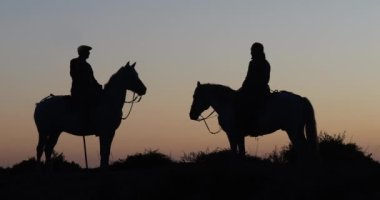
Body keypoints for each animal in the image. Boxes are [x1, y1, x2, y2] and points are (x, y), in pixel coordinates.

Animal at [189, 81, 318, 161]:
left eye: (195, 96)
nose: (191, 115)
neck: (228, 105)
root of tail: (300, 99)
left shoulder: (232, 134)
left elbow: (234, 152)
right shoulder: (239, 135)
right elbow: (241, 152)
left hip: (293, 130)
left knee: (301, 148)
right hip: (298, 129)